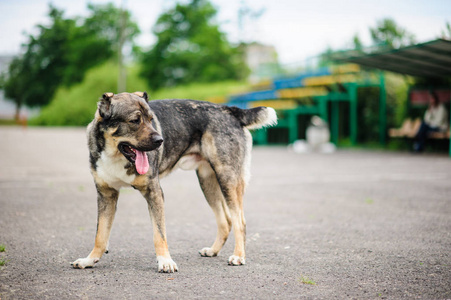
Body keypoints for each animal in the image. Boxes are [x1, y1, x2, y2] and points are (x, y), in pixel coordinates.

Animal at [71, 91, 278, 272]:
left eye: (151, 119)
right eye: (135, 121)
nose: (160, 140)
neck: (115, 155)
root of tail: (230, 110)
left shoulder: (154, 193)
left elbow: (159, 234)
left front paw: (165, 261)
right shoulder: (106, 195)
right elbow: (100, 234)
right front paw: (90, 260)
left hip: (228, 178)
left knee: (239, 221)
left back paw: (238, 256)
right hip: (208, 182)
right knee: (226, 221)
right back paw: (213, 250)